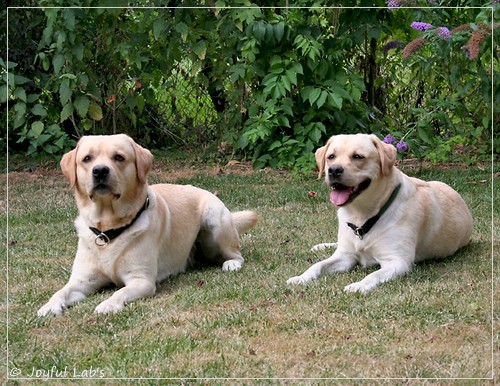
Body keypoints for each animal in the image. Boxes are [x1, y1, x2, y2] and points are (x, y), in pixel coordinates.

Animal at [36, 134, 258, 316]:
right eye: (87, 159)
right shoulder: (81, 281)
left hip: (215, 222)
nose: (99, 171)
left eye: (119, 157)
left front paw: (107, 304)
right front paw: (49, 305)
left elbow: (119, 292)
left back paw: (231, 263)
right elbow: (61, 291)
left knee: (236, 253)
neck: (108, 231)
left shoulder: (141, 280)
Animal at [288, 133, 470, 292]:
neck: (362, 216)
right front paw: (300, 277)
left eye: (358, 156)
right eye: (331, 157)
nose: (333, 170)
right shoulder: (345, 256)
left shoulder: (397, 261)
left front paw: (358, 286)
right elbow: (317, 265)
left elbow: (373, 275)